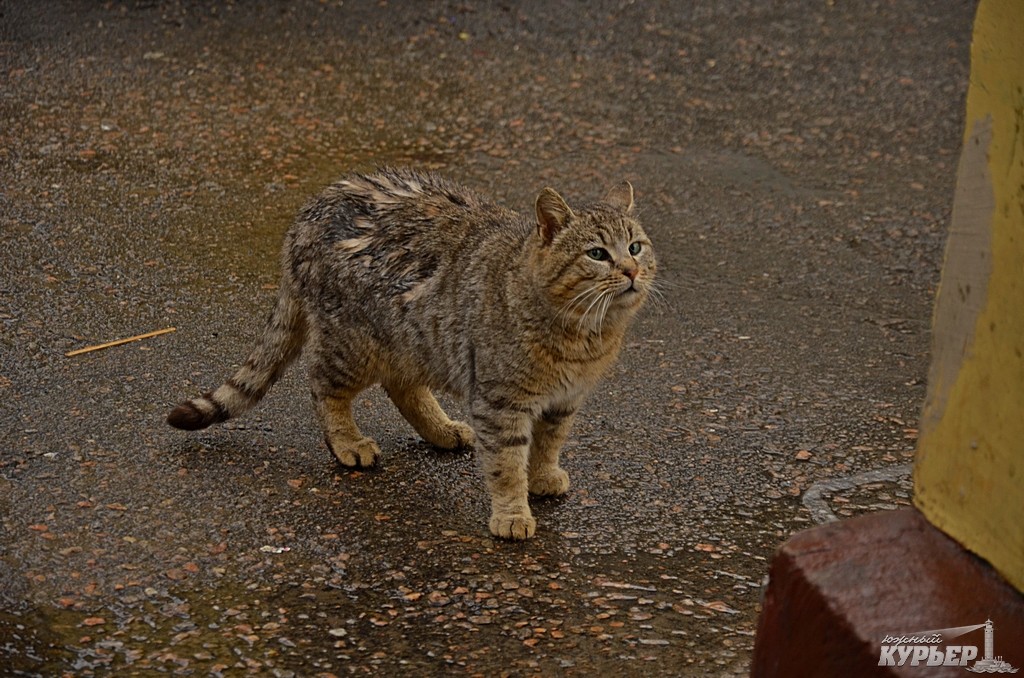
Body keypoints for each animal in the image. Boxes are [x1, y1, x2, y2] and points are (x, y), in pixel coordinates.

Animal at [163, 168, 651, 540]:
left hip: (415, 339)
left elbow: (549, 442)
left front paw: (544, 474)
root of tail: (306, 214)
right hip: (355, 343)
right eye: (596, 254)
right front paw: (513, 512)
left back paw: (441, 429)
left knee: (401, 387)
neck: (583, 335)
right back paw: (348, 441)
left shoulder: (564, 400)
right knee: (323, 384)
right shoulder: (500, 402)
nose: (632, 270)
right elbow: (506, 464)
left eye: (636, 246)